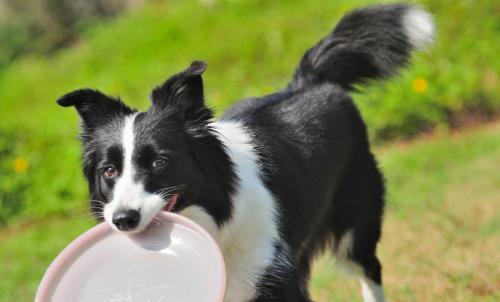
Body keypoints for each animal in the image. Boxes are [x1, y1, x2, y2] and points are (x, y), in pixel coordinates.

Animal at [57, 4, 434, 302]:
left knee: (370, 271)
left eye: (159, 162)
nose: (123, 220)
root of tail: (309, 80)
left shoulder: (272, 277)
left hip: (356, 225)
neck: (216, 218)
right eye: (109, 171)